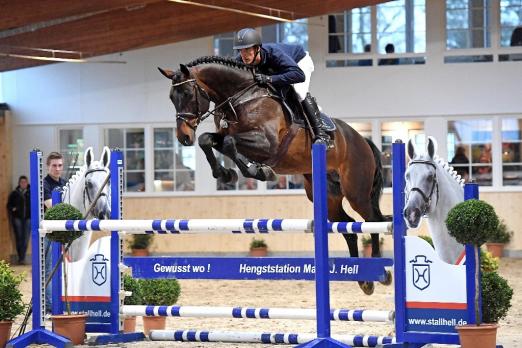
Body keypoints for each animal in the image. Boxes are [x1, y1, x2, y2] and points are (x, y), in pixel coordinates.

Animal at [158, 56, 390, 294]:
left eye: (187, 93)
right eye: (171, 97)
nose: (184, 137)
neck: (242, 97)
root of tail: (362, 140)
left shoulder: (267, 142)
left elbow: (230, 143)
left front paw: (258, 171)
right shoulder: (224, 135)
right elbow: (208, 140)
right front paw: (226, 173)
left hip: (356, 192)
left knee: (374, 221)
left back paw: (379, 272)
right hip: (326, 196)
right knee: (349, 228)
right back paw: (363, 279)